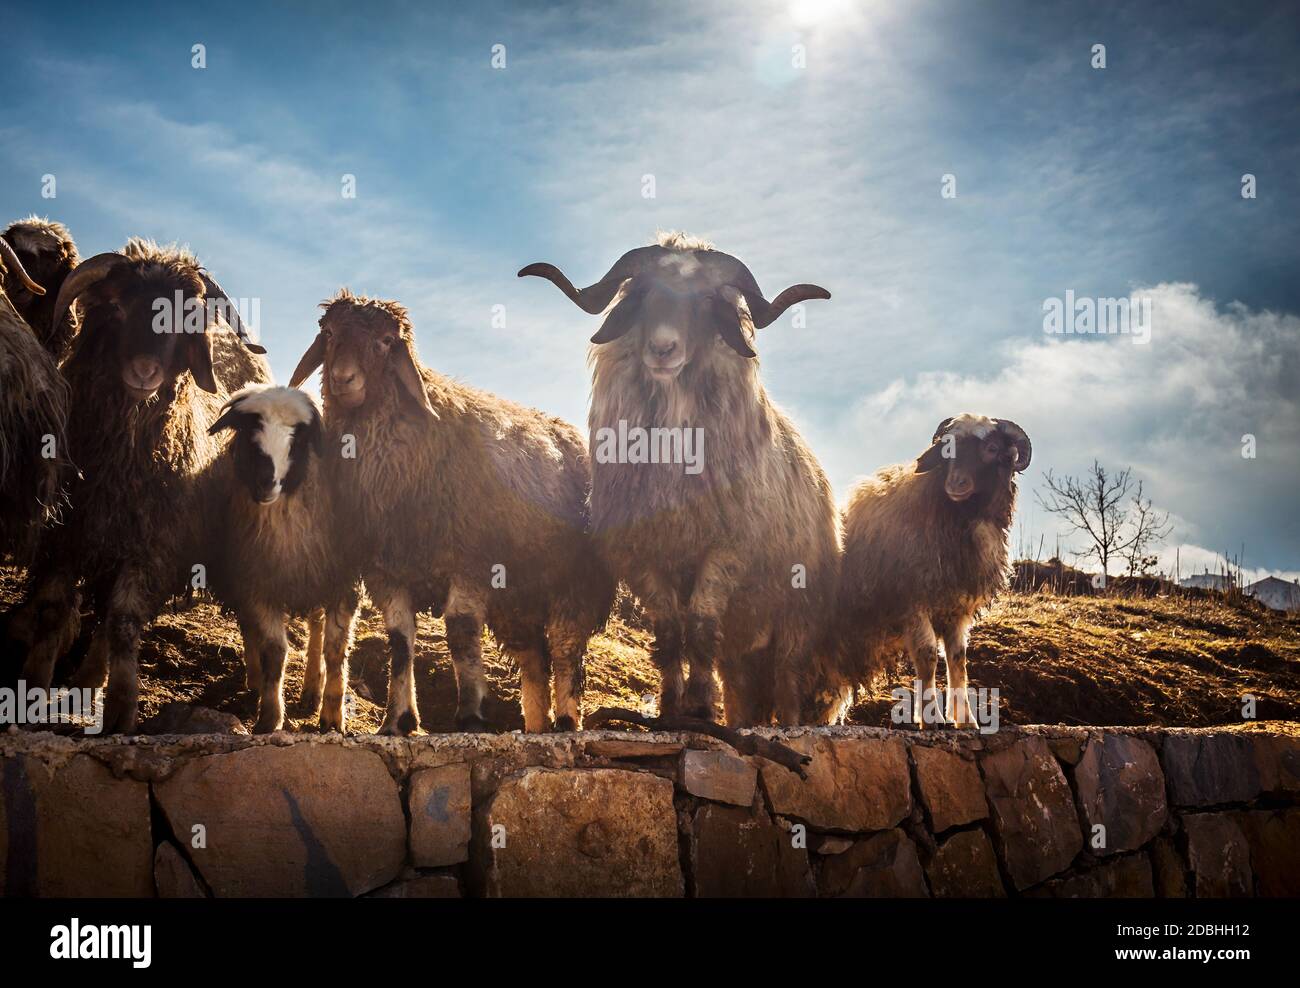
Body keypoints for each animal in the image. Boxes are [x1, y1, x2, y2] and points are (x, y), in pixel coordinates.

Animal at [8, 238, 269, 734]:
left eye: (185, 318)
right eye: (116, 305)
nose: (145, 371)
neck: (121, 461)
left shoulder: (154, 544)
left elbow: (126, 622)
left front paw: (122, 712)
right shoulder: (66, 533)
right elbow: (53, 610)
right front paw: (34, 688)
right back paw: (87, 680)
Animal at [197, 385, 358, 734]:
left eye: (297, 440)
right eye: (250, 432)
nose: (265, 482)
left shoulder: (341, 582)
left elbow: (335, 650)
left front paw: (332, 716)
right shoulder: (258, 584)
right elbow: (274, 651)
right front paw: (270, 717)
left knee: (316, 628)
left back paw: (312, 687)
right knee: (250, 629)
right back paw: (256, 681)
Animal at [289, 289, 615, 735]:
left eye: (386, 342)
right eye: (330, 333)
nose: (343, 380)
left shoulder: (469, 562)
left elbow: (460, 635)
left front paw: (469, 714)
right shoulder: (386, 570)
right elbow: (400, 642)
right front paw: (398, 720)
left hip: (574, 581)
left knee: (565, 648)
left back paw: (566, 722)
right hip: (518, 599)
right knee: (533, 660)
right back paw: (536, 726)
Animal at [518, 232, 838, 726]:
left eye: (707, 300)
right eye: (644, 291)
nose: (663, 349)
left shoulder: (725, 548)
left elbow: (701, 628)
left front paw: (701, 708)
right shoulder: (642, 553)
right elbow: (670, 632)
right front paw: (671, 707)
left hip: (798, 611)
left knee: (788, 673)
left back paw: (788, 723)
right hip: (747, 636)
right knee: (741, 682)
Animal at [832, 414, 1032, 728]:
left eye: (991, 448)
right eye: (946, 449)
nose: (955, 482)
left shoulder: (957, 607)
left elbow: (958, 659)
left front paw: (966, 720)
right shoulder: (912, 601)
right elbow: (927, 657)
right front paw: (931, 719)